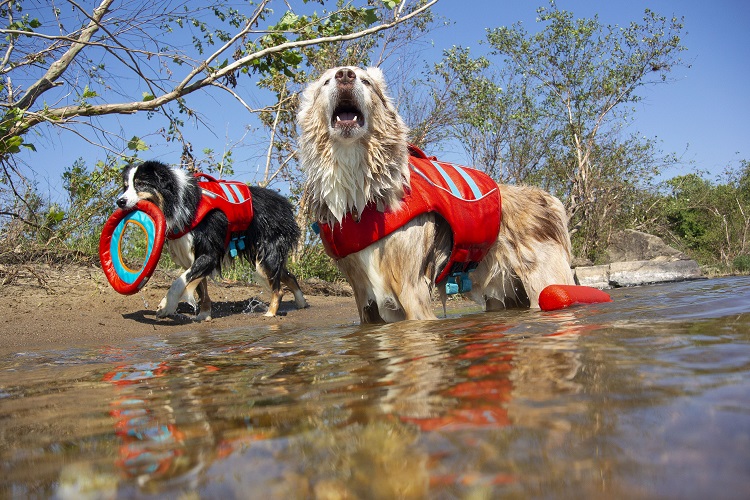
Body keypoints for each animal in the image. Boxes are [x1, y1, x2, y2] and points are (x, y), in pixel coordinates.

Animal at [116, 162, 306, 322]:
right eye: (126, 186)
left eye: (141, 184)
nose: (120, 201)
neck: (181, 202)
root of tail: (286, 205)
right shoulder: (192, 255)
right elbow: (201, 289)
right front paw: (204, 315)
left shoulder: (210, 254)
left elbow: (179, 282)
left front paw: (166, 306)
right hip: (261, 256)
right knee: (289, 276)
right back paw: (301, 302)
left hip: (267, 255)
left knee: (278, 289)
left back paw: (270, 313)